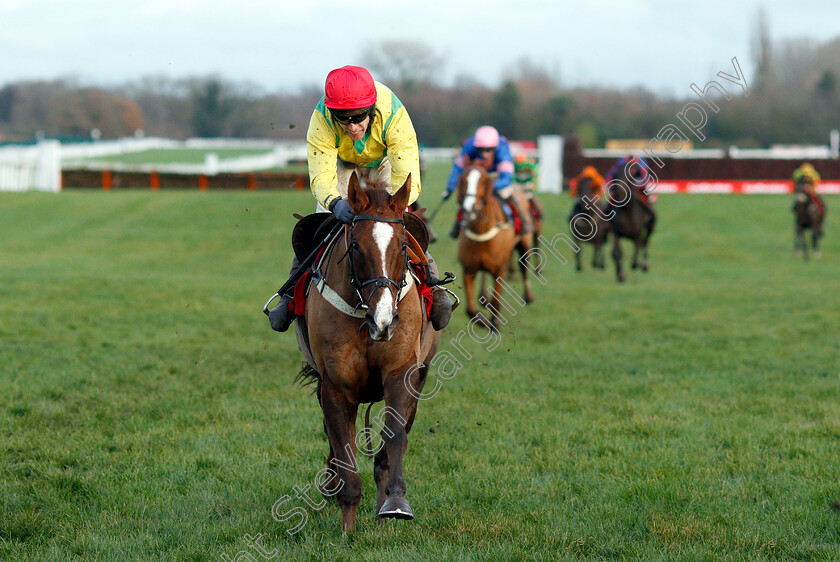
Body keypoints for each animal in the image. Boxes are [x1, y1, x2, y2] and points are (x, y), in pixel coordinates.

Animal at [294, 167, 440, 528]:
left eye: (403, 246)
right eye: (356, 247)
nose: (384, 319)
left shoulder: (402, 371)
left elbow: (395, 437)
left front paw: (394, 502)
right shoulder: (334, 383)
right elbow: (343, 449)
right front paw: (347, 526)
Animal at [456, 160, 536, 326]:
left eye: (482, 181)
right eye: (463, 180)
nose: (469, 208)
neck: (481, 232)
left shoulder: (500, 268)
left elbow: (496, 302)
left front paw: (494, 324)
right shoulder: (468, 269)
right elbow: (470, 310)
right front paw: (483, 321)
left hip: (524, 243)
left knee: (524, 265)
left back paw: (528, 295)